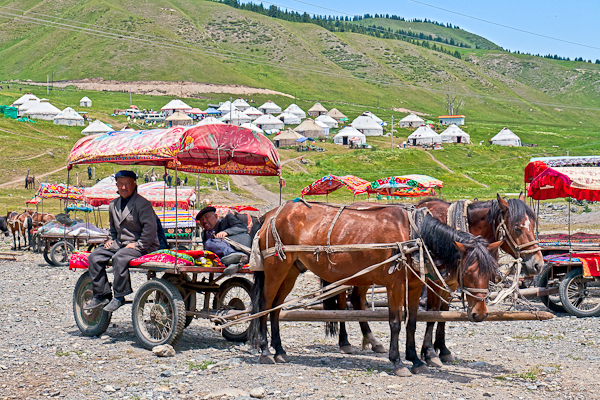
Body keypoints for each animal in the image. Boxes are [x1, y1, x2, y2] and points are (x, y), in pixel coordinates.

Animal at [248, 202, 496, 376]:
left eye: (490, 273)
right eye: (469, 271)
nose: (480, 314)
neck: (413, 236)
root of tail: (270, 215)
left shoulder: (415, 286)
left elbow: (412, 322)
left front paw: (416, 360)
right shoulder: (395, 285)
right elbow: (396, 322)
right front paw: (398, 362)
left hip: (291, 271)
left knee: (276, 308)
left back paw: (280, 351)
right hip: (276, 268)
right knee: (265, 305)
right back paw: (265, 351)